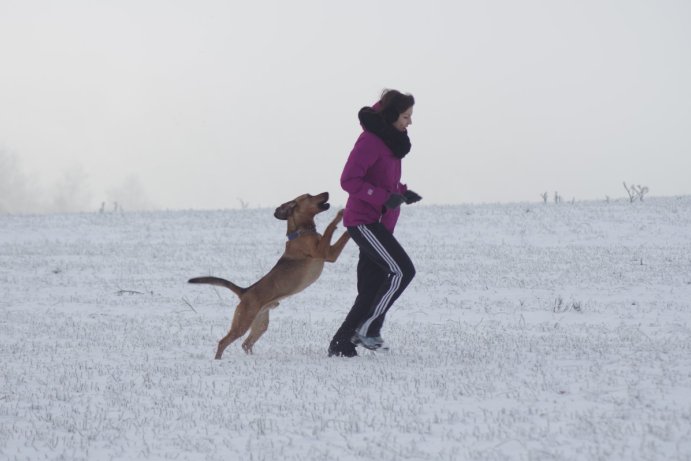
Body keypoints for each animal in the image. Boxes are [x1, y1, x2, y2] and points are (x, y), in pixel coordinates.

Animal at [189, 192, 352, 358]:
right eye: (308, 195)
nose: (327, 192)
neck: (301, 232)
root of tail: (245, 291)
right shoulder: (325, 252)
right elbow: (330, 228)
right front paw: (341, 216)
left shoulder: (329, 253)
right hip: (242, 323)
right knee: (223, 342)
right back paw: (218, 360)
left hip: (260, 323)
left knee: (246, 344)